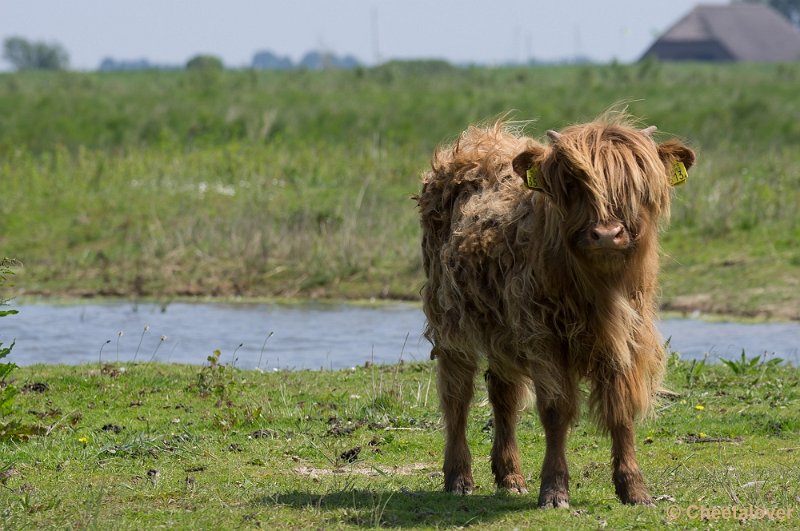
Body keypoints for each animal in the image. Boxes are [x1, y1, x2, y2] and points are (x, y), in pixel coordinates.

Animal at [418, 115, 692, 508]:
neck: (599, 290)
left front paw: (634, 488)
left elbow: (622, 409)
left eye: (635, 185)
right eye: (573, 183)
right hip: (450, 320)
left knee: (503, 394)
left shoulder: (625, 338)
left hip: (502, 330)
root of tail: (479, 140)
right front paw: (554, 490)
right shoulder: (543, 337)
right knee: (457, 395)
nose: (607, 234)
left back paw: (510, 476)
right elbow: (555, 409)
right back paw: (459, 478)